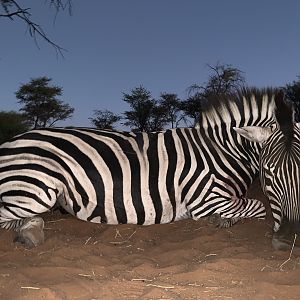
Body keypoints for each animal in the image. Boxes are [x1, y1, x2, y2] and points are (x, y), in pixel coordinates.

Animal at [0, 88, 278, 247]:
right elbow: (258, 206)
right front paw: (223, 221)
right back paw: (30, 232)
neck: (221, 151)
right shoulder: (206, 199)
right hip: (36, 189)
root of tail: (8, 143)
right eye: (276, 167)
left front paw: (222, 220)